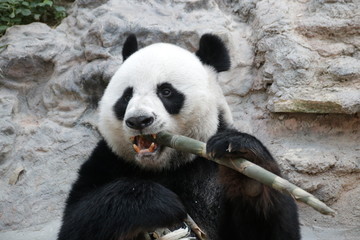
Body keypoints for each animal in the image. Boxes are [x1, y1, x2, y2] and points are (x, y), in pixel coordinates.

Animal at [58, 33, 300, 240]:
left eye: (166, 91)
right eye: (126, 96)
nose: (139, 120)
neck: (166, 166)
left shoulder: (211, 163)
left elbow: (272, 231)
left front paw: (244, 163)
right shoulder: (108, 160)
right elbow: (76, 222)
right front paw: (157, 203)